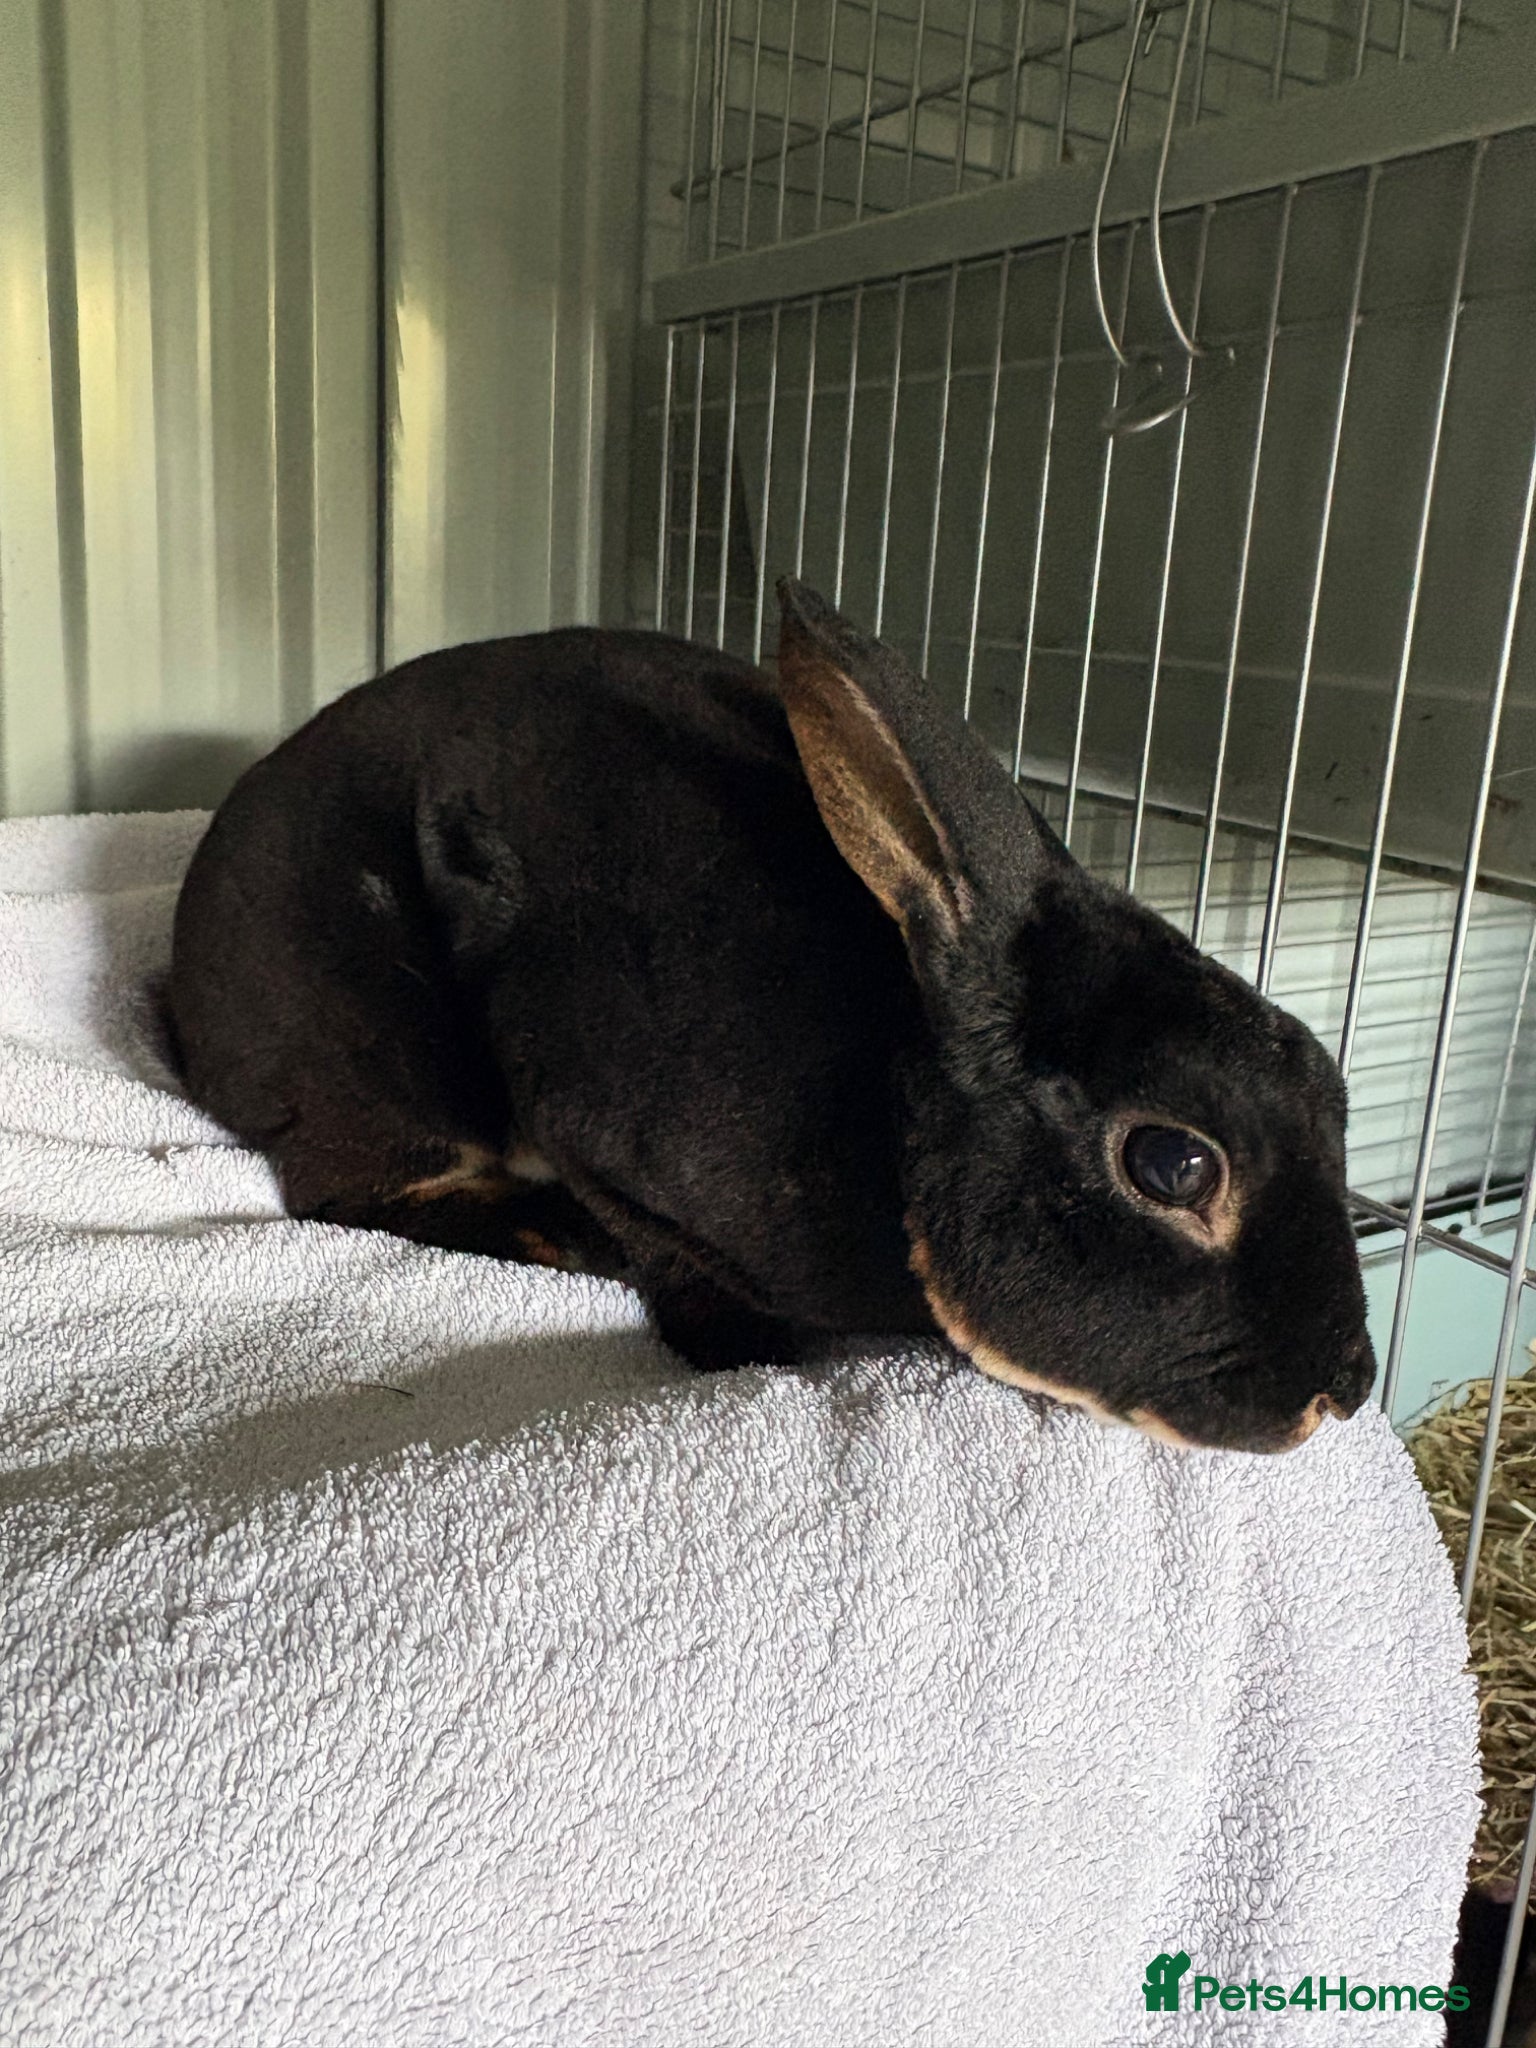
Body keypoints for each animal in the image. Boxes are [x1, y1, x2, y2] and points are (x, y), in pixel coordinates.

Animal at [169, 577, 1376, 1453]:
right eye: (1174, 1164)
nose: (1347, 1388)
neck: (896, 1114)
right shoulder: (595, 1132)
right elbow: (663, 1253)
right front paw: (749, 1349)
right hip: (379, 1055)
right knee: (346, 1187)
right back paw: (547, 1233)